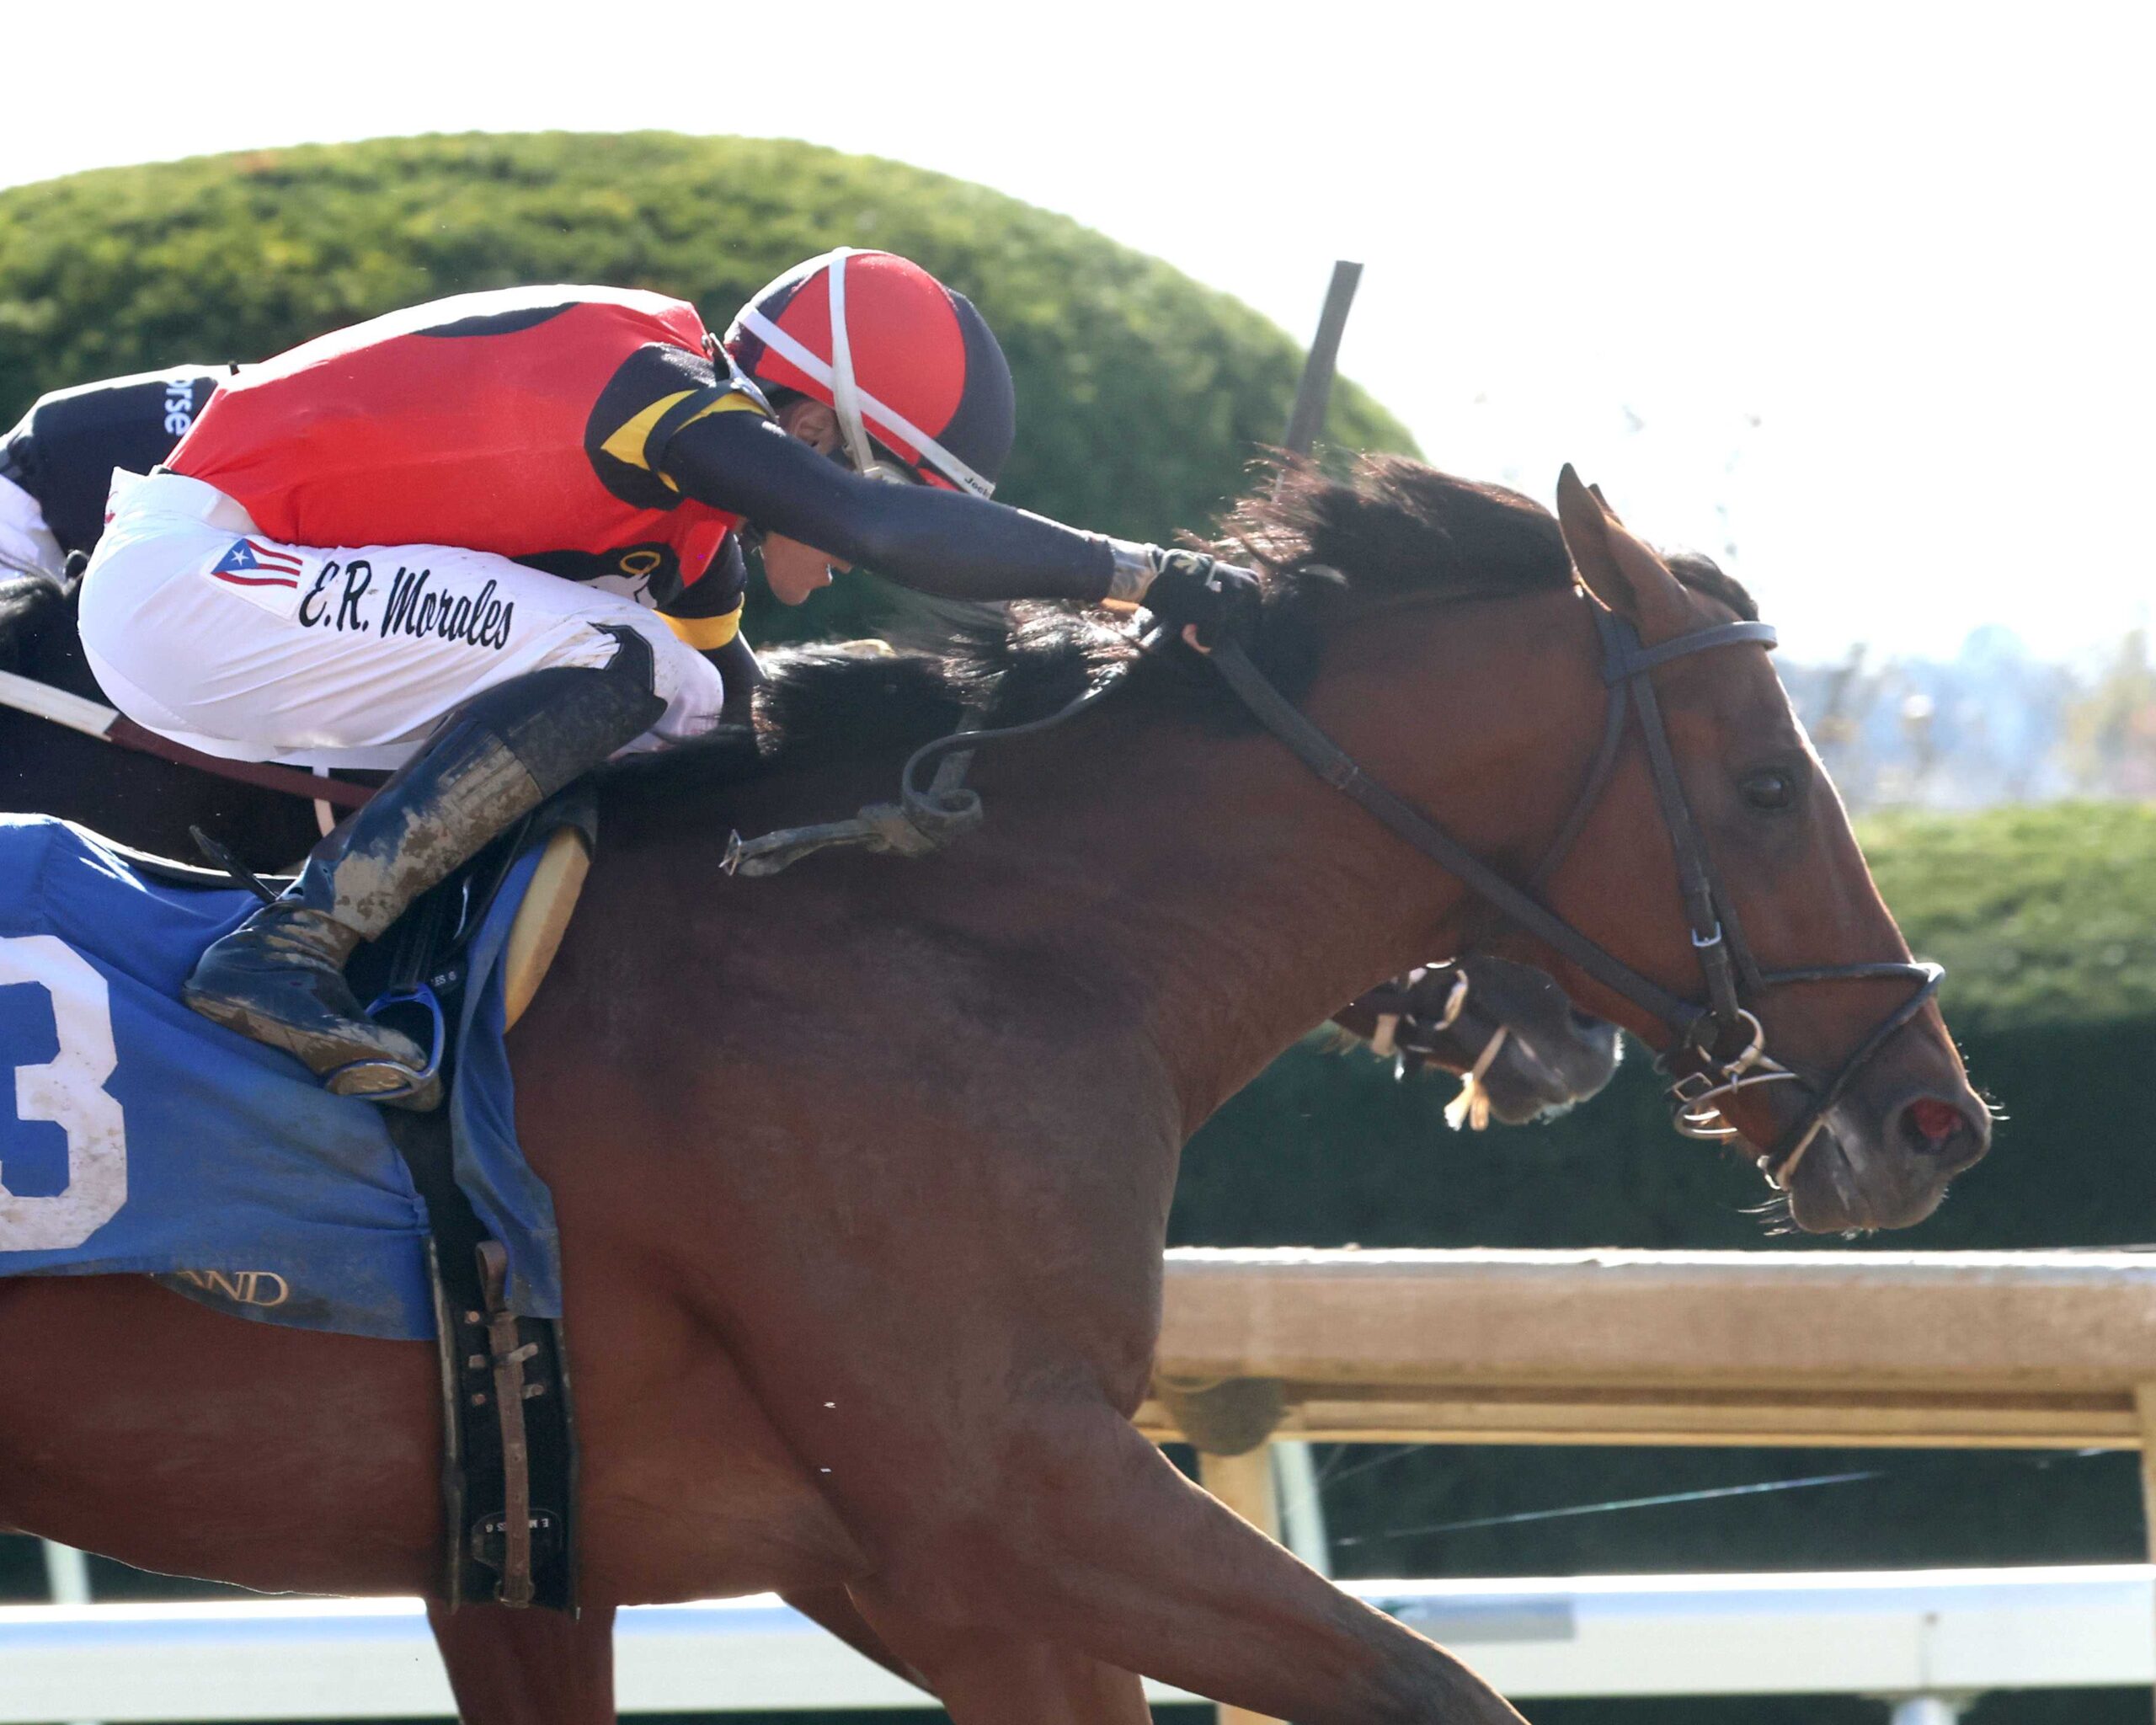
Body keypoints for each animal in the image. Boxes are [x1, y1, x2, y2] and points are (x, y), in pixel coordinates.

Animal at [0, 457, 1988, 1723]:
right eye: (1762, 786)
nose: (1932, 1118)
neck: (962, 945)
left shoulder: (775, 1558)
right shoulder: (1001, 1492)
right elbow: (1435, 1684)